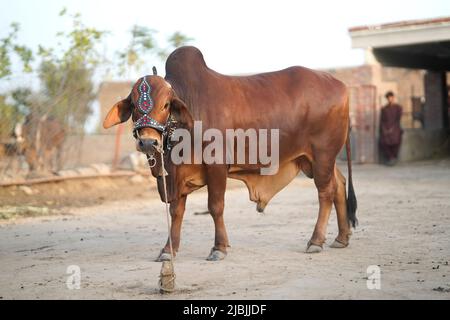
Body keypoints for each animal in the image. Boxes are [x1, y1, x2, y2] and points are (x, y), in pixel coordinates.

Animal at [103, 46, 356, 262]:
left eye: (166, 105)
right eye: (134, 106)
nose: (148, 141)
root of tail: (342, 86)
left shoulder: (216, 165)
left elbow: (215, 206)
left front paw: (219, 248)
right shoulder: (176, 174)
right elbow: (176, 211)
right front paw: (168, 250)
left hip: (323, 154)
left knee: (326, 192)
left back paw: (316, 241)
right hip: (317, 158)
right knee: (340, 184)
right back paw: (341, 237)